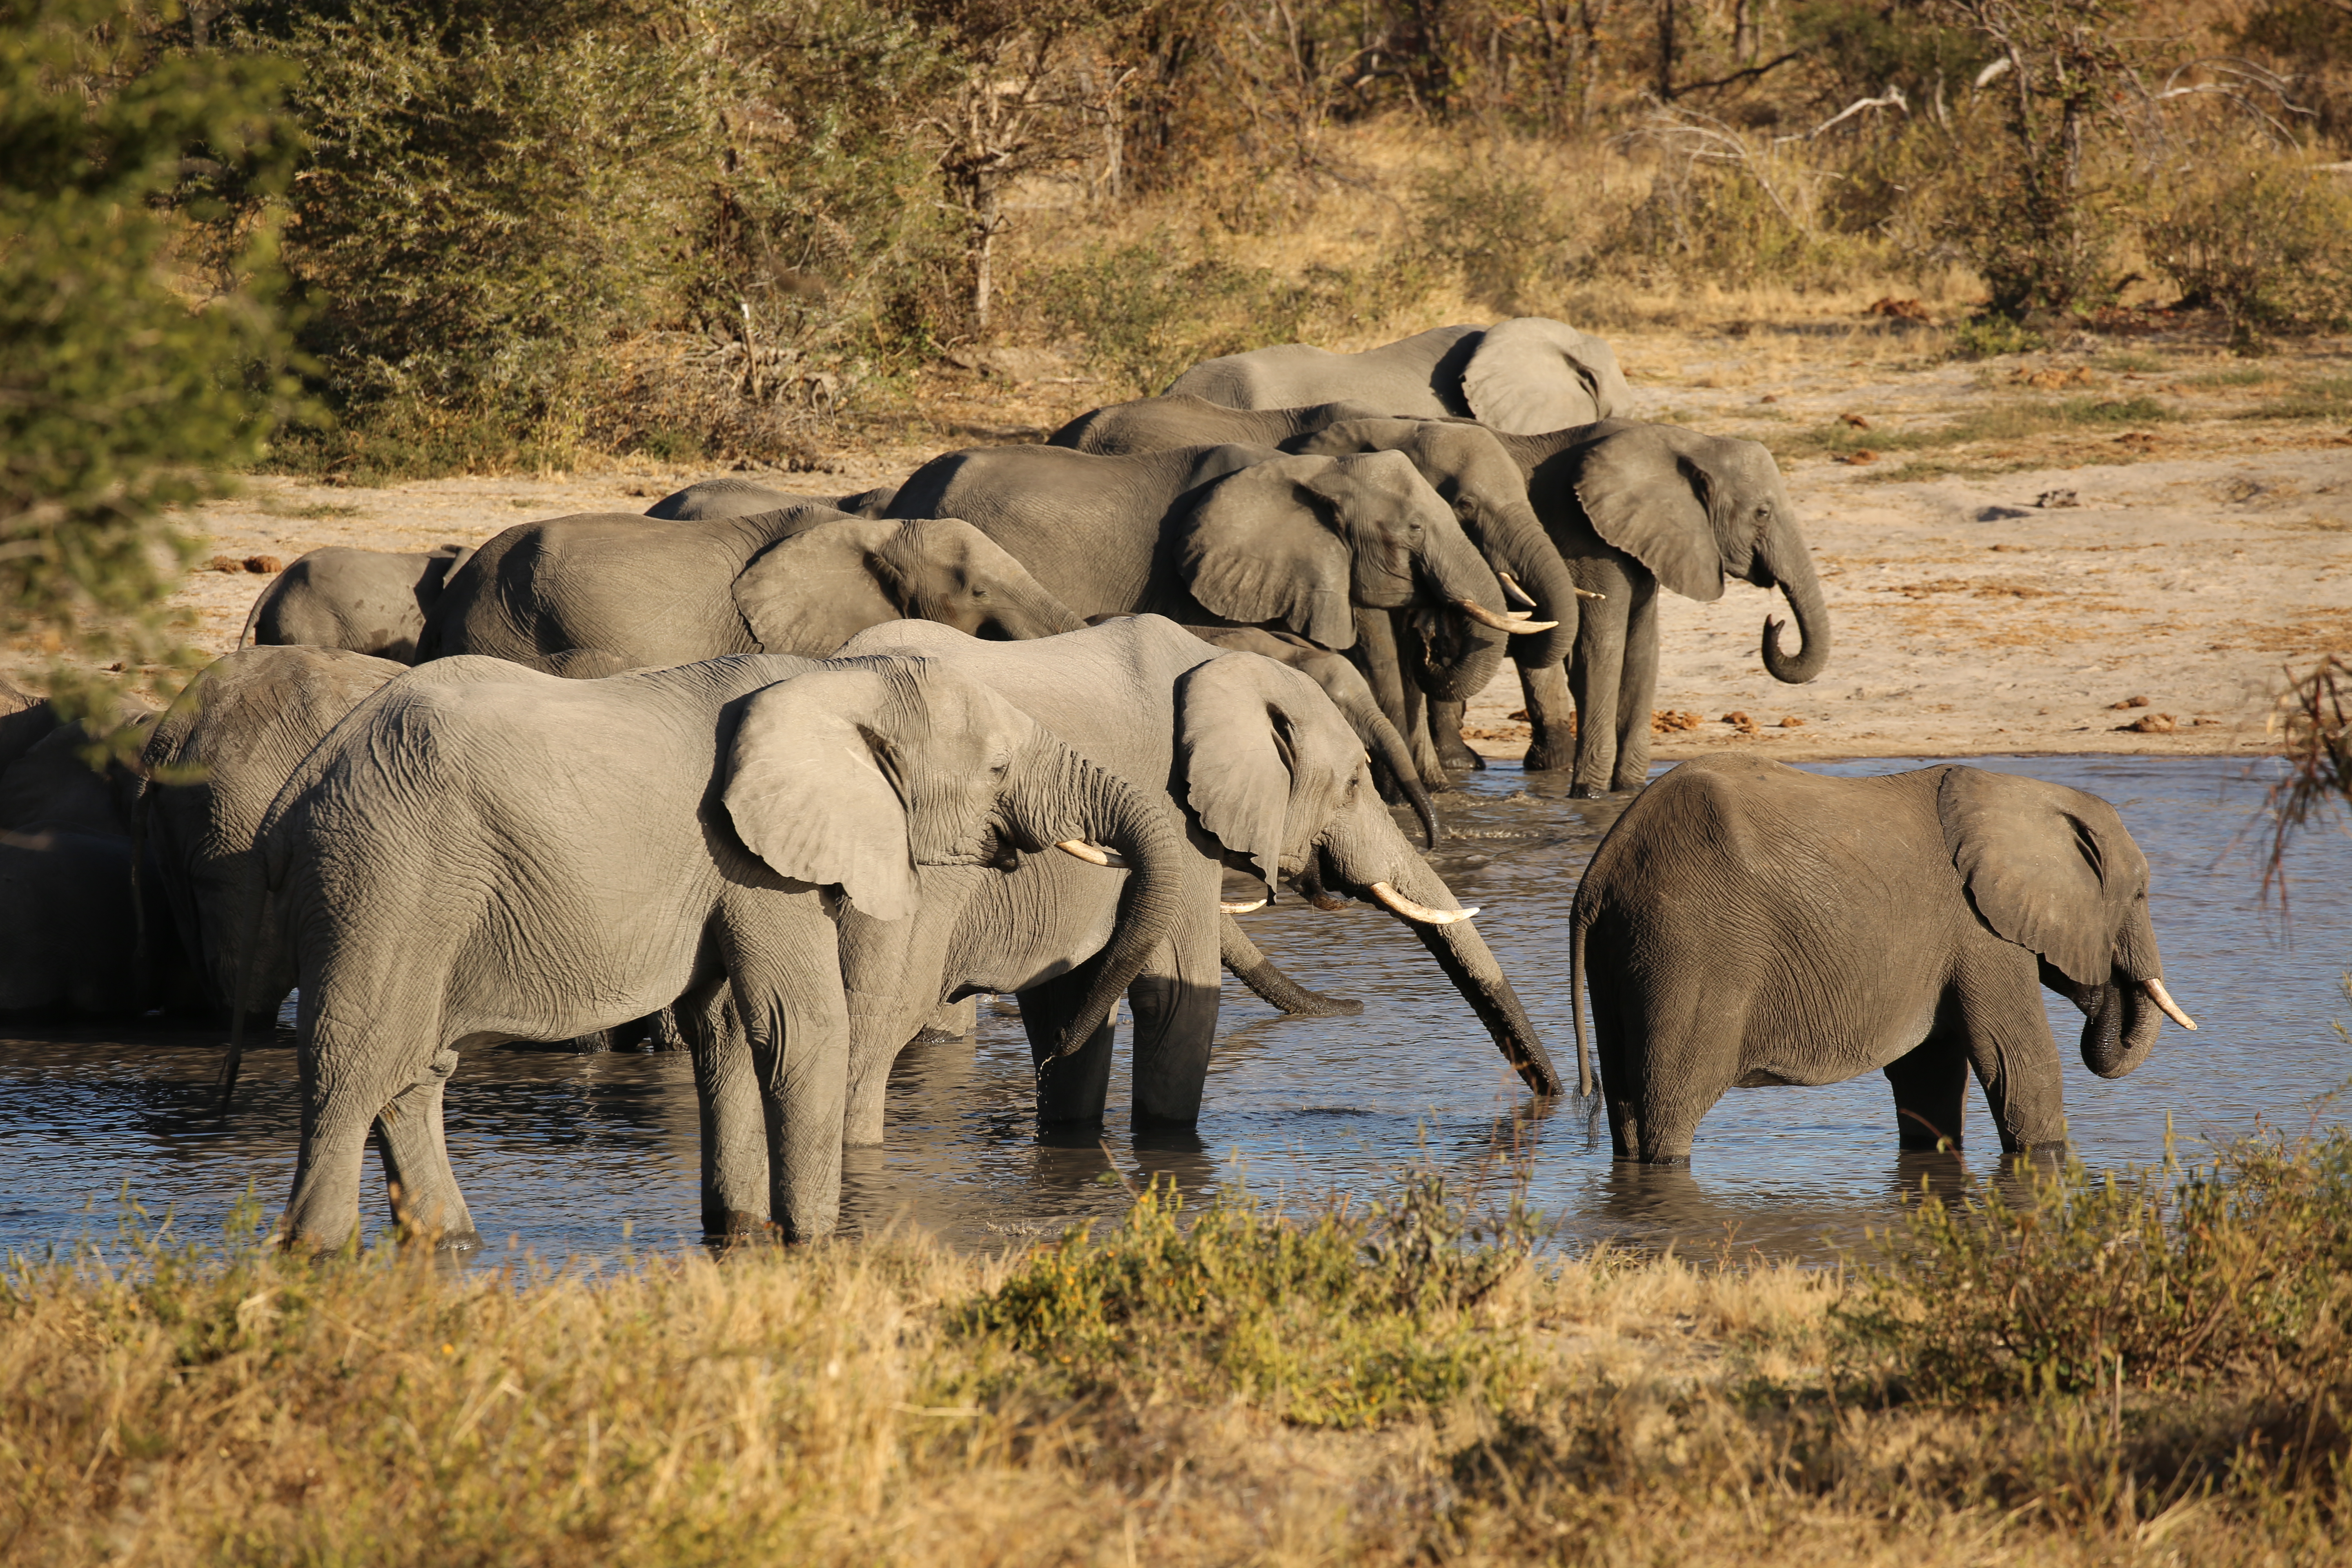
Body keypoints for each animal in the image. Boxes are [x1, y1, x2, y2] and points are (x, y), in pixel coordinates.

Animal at [249, 650, 1187, 1250]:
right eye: (996, 769)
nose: (1054, 1052)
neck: (831, 680)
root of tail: (297, 791)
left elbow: (732, 1028)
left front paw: (740, 1234)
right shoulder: (749, 855)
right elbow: (800, 1027)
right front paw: (817, 1244)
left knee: (417, 1066)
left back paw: (448, 1243)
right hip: (387, 870)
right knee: (358, 1057)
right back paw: (317, 1250)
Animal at [827, 616, 1561, 1145]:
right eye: (1356, 784)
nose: (1556, 1097)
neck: (1223, 659)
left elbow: (1077, 1001)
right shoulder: (1172, 816)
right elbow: (1180, 997)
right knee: (877, 1026)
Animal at [1569, 756, 2198, 1165]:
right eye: (2140, 895)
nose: (2101, 1000)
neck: (2019, 793)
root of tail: (1600, 877)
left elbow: (1930, 1077)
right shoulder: (1979, 933)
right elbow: (2020, 1065)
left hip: (1625, 954)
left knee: (1627, 1108)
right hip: (1691, 950)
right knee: (1670, 1110)